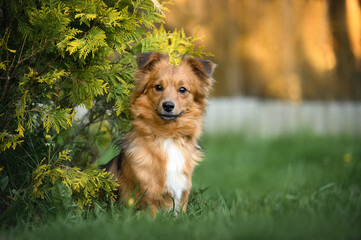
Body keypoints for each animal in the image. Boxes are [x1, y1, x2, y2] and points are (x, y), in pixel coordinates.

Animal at [101, 51, 214, 216]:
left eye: (182, 89)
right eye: (158, 87)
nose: (168, 105)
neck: (168, 136)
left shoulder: (182, 195)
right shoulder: (148, 198)